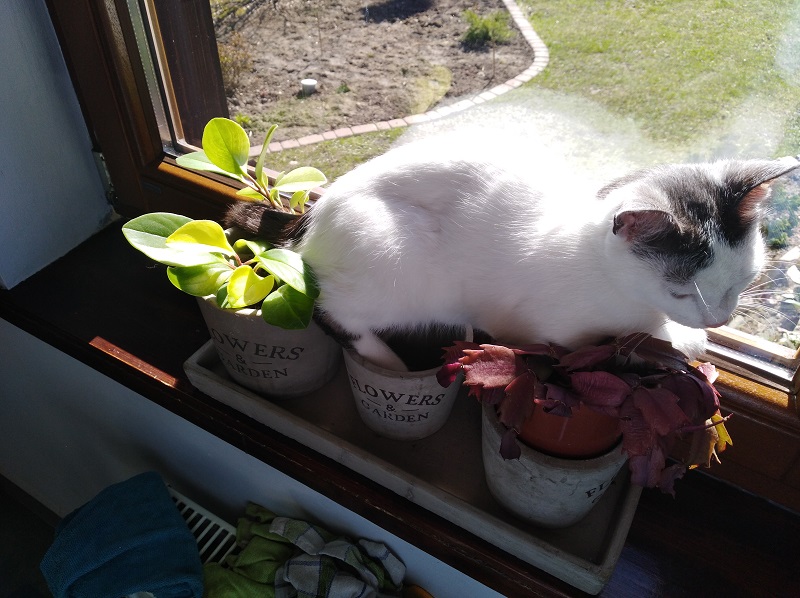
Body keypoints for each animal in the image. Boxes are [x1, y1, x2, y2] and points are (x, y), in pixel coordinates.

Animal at [227, 136, 800, 371]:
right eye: (681, 290)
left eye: (740, 282)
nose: (720, 318)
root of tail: (315, 212)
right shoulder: (553, 332)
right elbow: (652, 338)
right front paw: (683, 339)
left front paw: (690, 336)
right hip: (396, 269)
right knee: (331, 309)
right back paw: (382, 355)